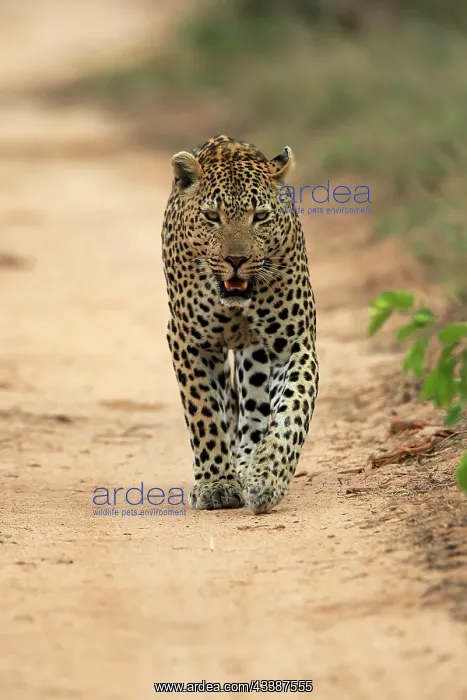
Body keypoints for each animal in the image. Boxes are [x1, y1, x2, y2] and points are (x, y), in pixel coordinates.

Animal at [161, 135, 319, 514]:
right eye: (211, 216)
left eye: (259, 217)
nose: (236, 260)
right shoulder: (190, 342)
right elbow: (204, 413)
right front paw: (216, 484)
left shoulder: (293, 345)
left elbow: (292, 411)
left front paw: (266, 478)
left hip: (257, 355)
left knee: (253, 413)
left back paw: (248, 464)